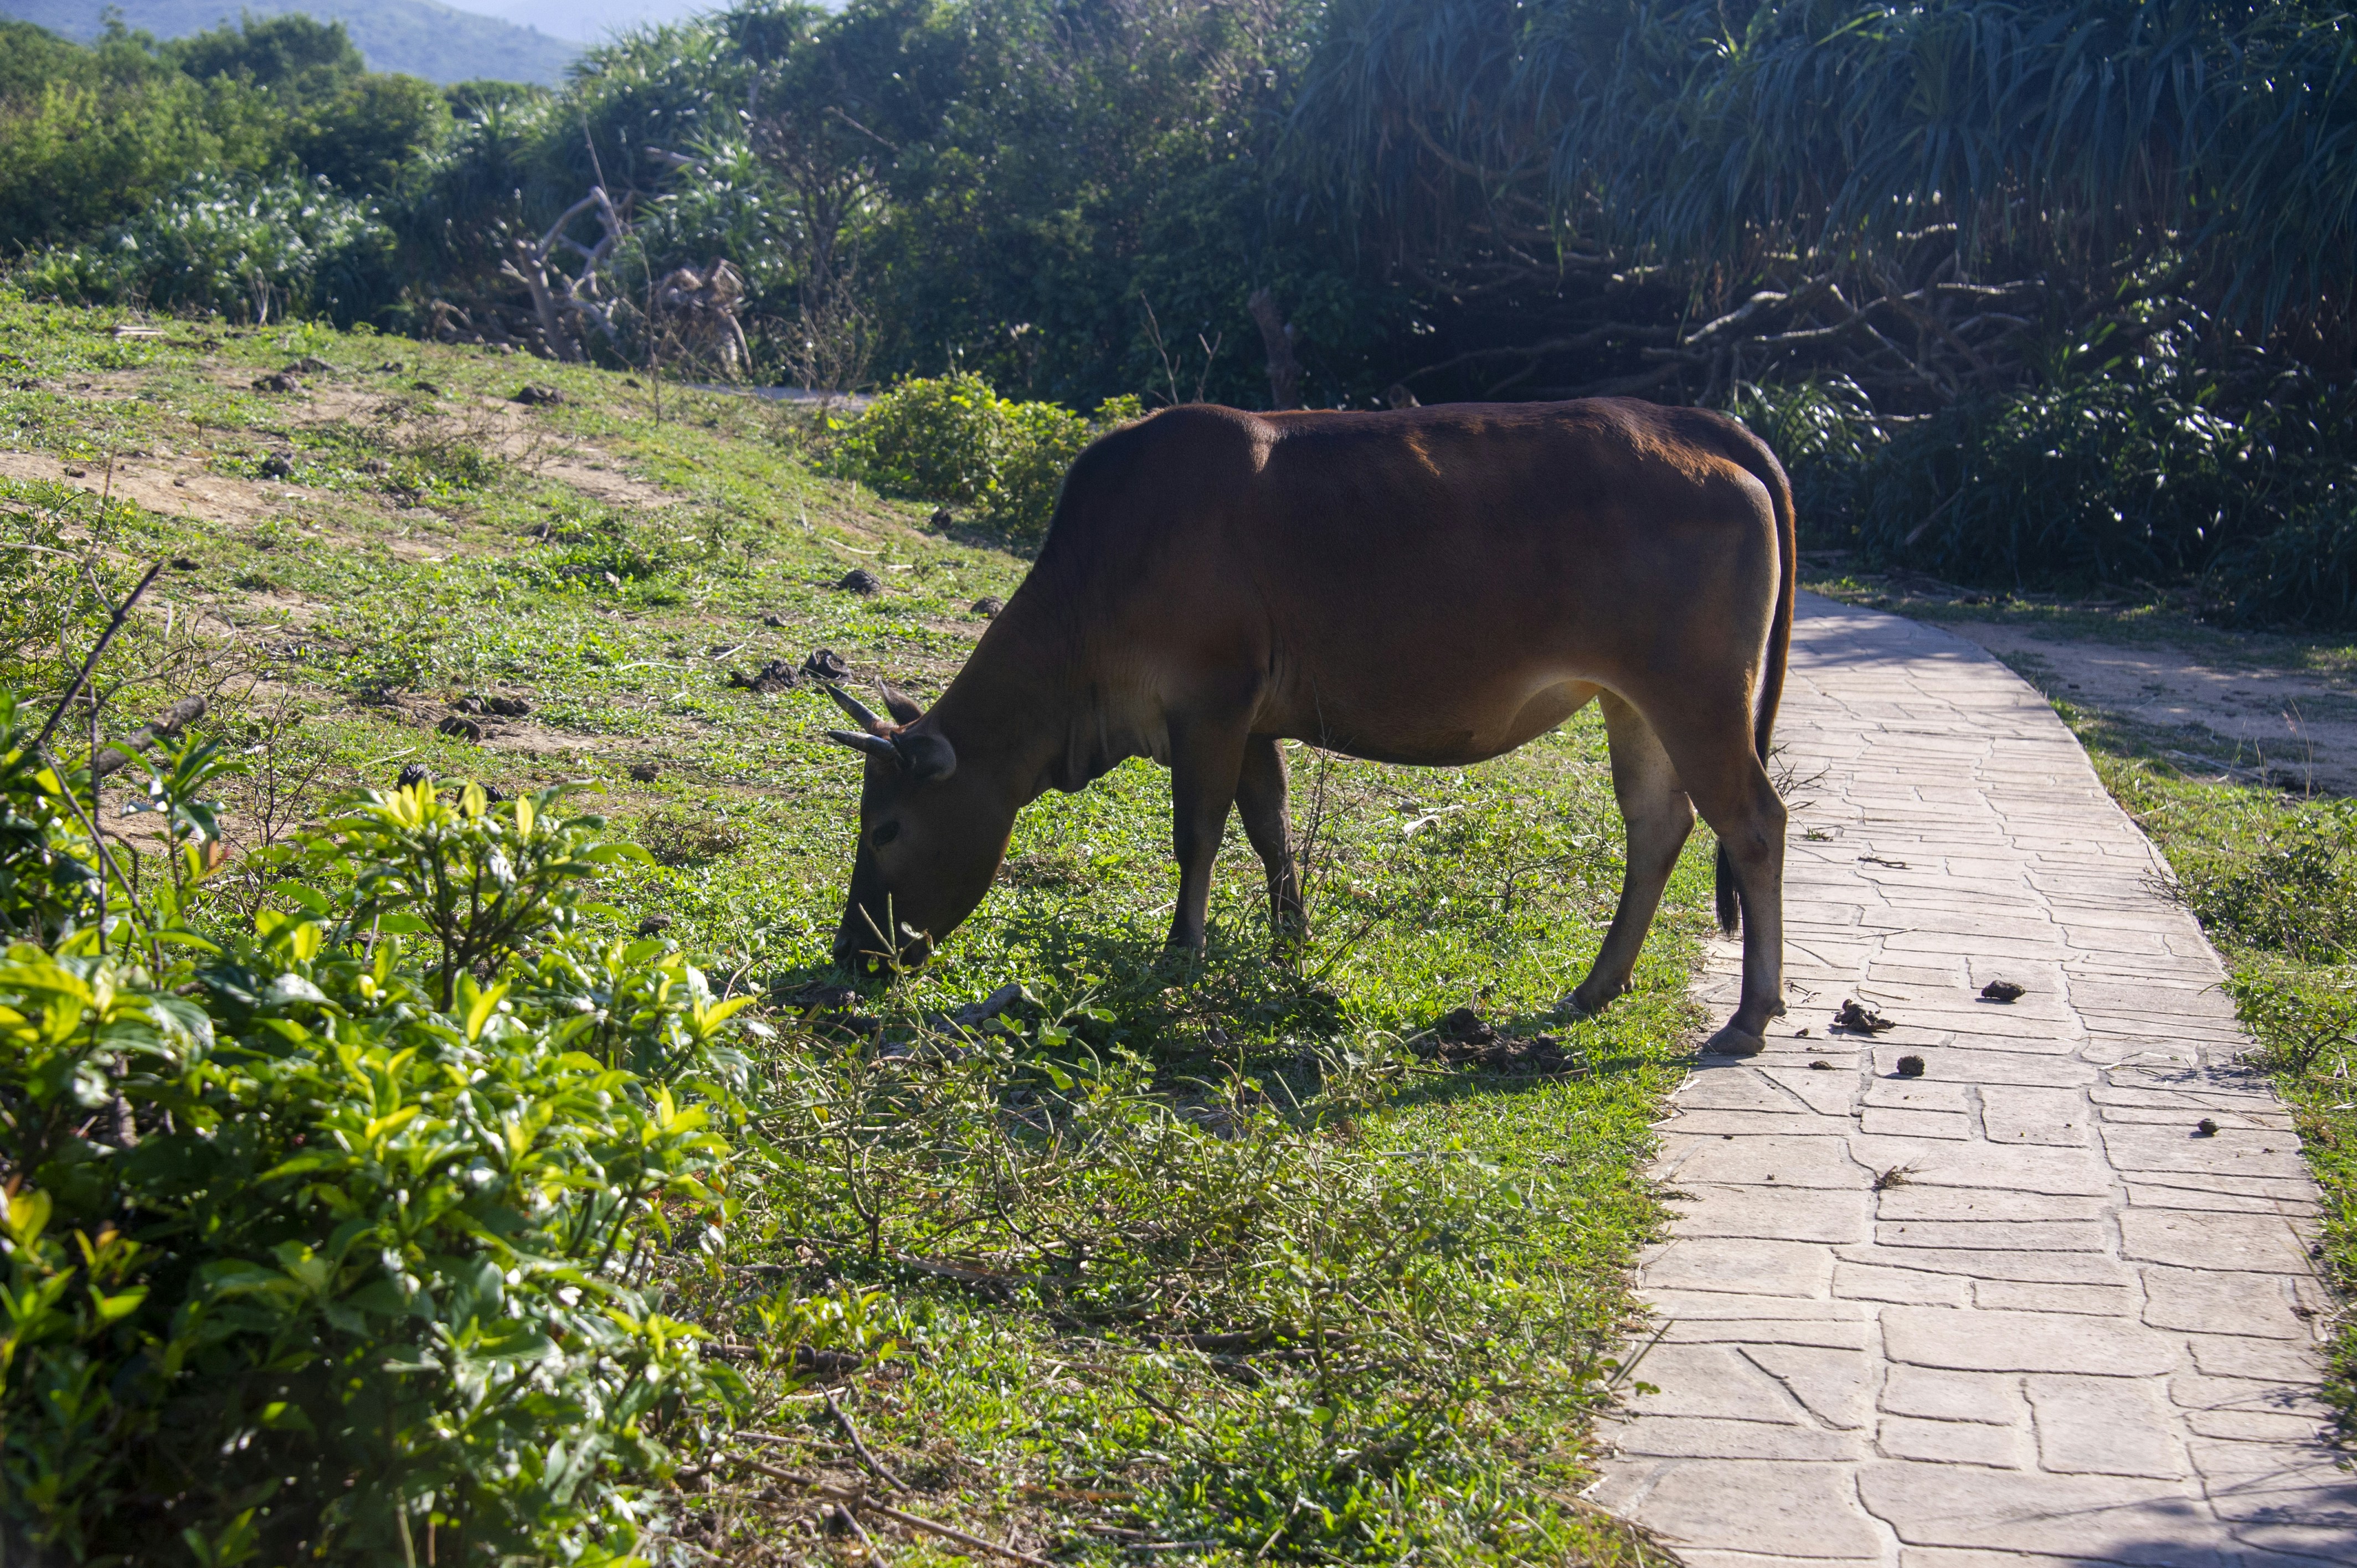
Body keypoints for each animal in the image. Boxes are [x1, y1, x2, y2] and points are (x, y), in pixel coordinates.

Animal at [821, 398, 1795, 1055]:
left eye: (887, 828)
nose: (853, 954)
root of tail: (1690, 422)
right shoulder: (1253, 722)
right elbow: (1271, 828)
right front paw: (1289, 942)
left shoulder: (1210, 704)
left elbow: (1198, 835)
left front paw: (1181, 953)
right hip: (1633, 701)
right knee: (1657, 825)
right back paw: (1595, 988)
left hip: (1697, 693)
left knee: (1754, 823)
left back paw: (1749, 1016)